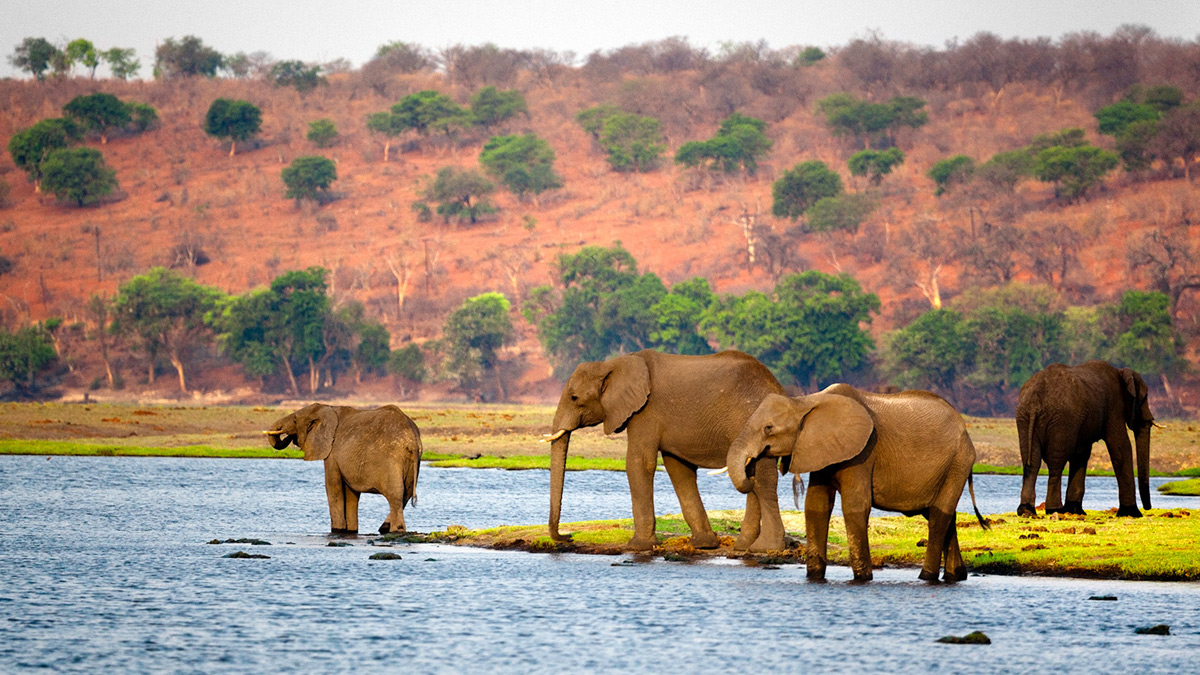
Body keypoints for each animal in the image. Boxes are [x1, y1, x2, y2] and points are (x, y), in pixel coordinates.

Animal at [267, 403, 422, 534]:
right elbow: (351, 494)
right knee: (406, 493)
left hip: (391, 460)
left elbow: (333, 487)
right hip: (412, 462)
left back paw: (395, 530)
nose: (290, 438)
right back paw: (384, 528)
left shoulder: (332, 452)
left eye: (294, 420)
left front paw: (337, 530)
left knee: (396, 495)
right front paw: (351, 531)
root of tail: (412, 439)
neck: (326, 408)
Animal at [545, 349, 788, 551]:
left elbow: (638, 463)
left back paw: (765, 548)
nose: (568, 537)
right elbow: (678, 470)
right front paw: (703, 545)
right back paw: (743, 547)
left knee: (764, 479)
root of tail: (777, 386)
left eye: (574, 397)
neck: (611, 364)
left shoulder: (645, 411)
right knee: (753, 475)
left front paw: (638, 547)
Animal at [725, 385, 987, 582]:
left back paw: (926, 576)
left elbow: (855, 506)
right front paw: (815, 577)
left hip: (959, 460)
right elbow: (816, 506)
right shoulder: (820, 449)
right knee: (943, 515)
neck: (806, 401)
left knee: (939, 516)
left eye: (768, 428)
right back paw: (956, 576)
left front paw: (863, 578)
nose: (751, 468)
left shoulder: (863, 452)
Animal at [1015, 361, 1154, 518]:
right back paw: (1054, 509)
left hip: (1025, 417)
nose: (1148, 508)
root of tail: (1035, 400)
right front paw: (1132, 513)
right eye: (1145, 397)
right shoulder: (1114, 407)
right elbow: (1121, 447)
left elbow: (1081, 455)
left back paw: (1026, 510)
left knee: (1032, 462)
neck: (1120, 372)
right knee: (1056, 463)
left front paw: (1075, 510)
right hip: (1061, 419)